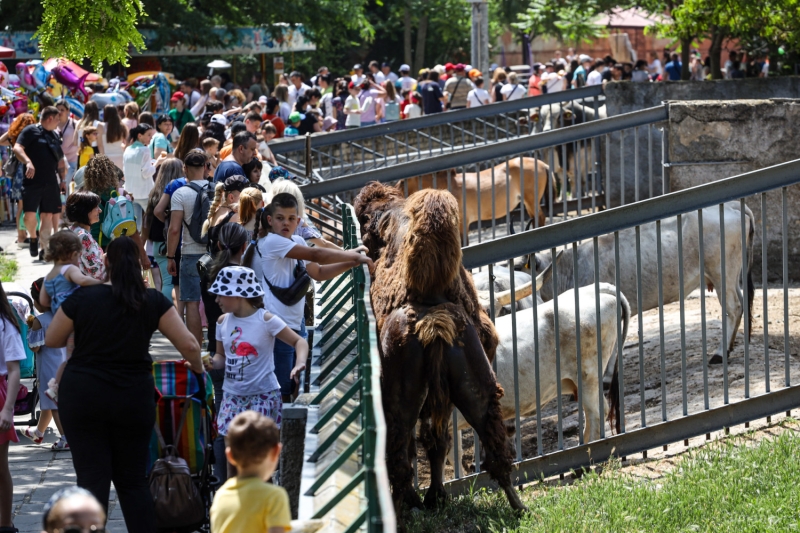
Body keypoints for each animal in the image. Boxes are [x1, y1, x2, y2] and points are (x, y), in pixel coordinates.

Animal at [354, 182, 528, 516]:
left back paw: (402, 510)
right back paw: (517, 505)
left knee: (400, 454)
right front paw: (437, 497)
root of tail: (432, 312)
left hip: (400, 398)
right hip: (474, 382)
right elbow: (437, 440)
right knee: (491, 440)